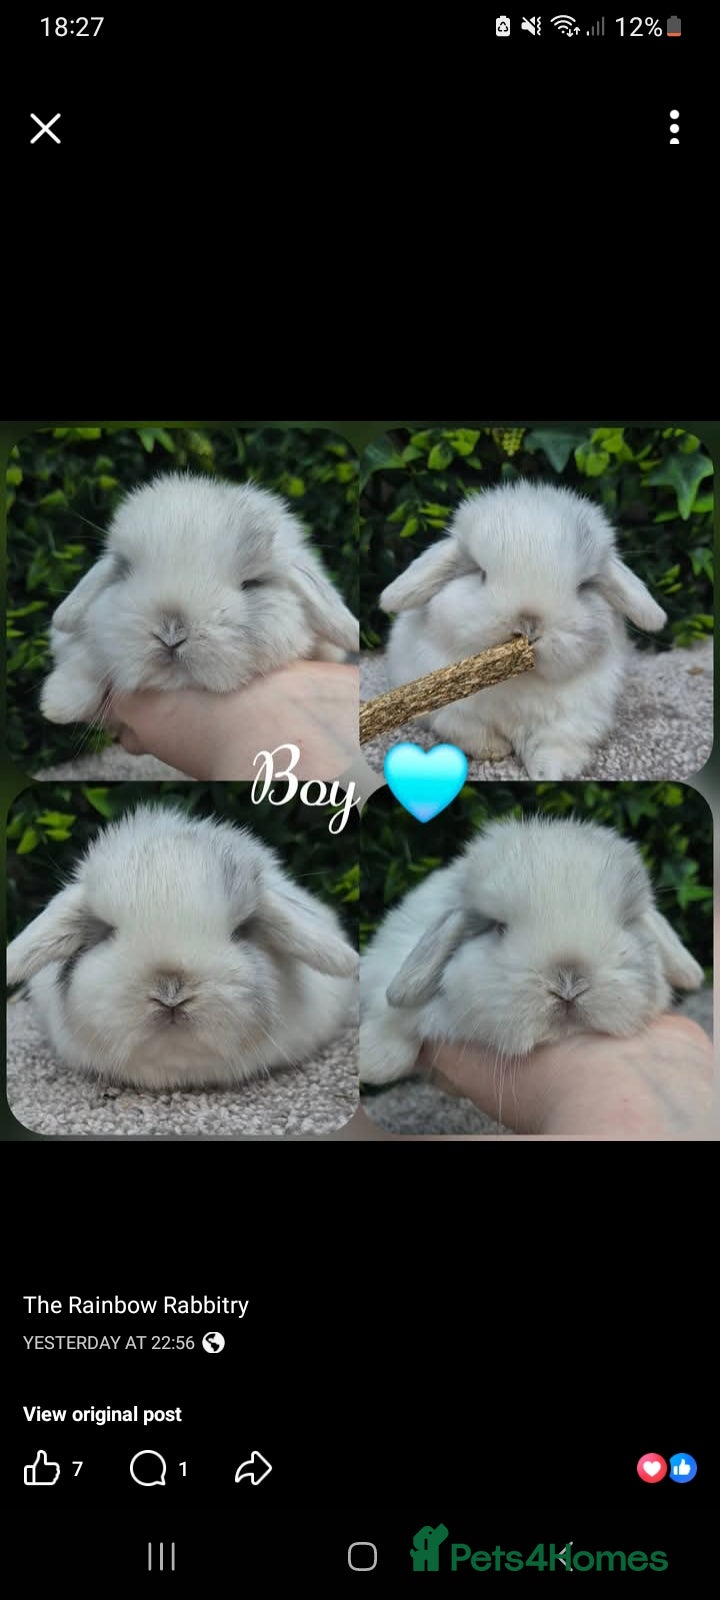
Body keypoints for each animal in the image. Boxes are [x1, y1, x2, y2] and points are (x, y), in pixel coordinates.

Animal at [380, 480, 668, 779]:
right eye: (480, 573)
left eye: (584, 586)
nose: (529, 624)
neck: (517, 682)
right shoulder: (451, 713)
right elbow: (470, 732)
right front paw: (495, 750)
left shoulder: (575, 721)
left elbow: (554, 749)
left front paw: (551, 774)